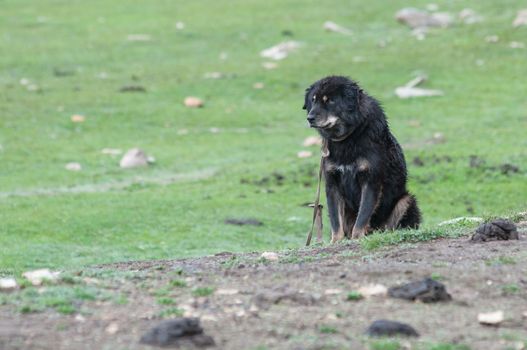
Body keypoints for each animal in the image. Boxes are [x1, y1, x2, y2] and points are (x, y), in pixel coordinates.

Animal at [306, 75, 420, 242]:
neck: (349, 137)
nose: (310, 118)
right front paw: (336, 241)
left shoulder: (370, 181)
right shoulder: (332, 183)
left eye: (330, 101)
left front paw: (357, 238)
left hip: (405, 201)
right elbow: (336, 221)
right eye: (313, 100)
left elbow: (362, 218)